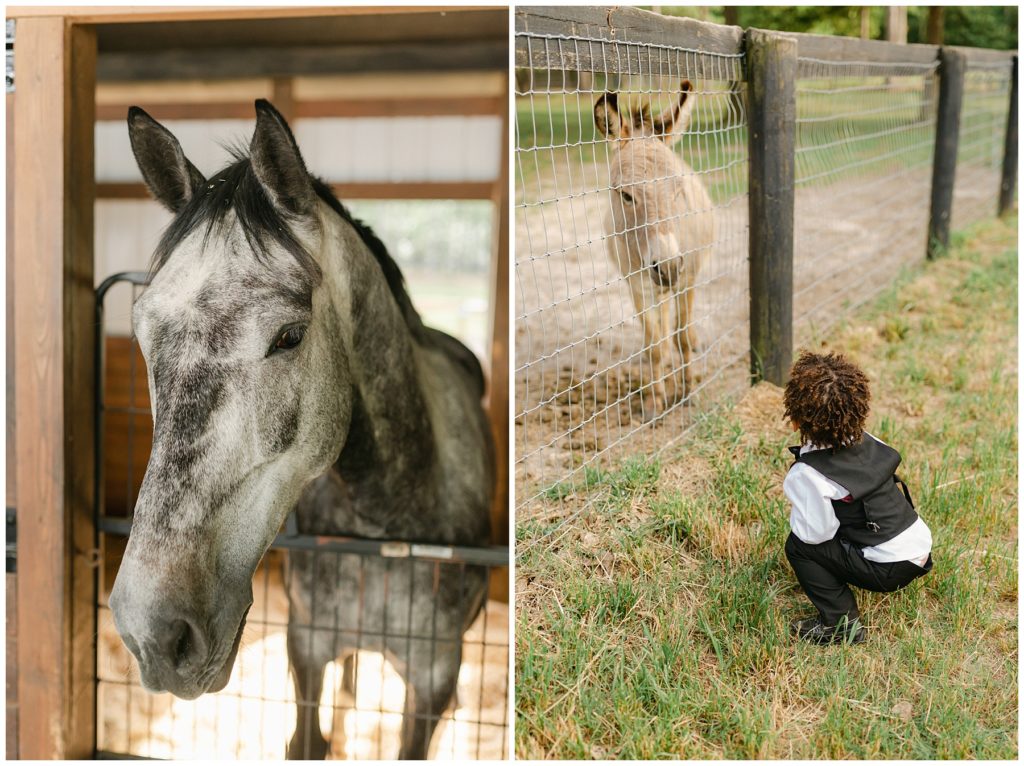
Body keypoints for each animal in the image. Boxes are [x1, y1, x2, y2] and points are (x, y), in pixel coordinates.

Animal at [110, 98, 493, 757]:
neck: (386, 527)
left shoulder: (433, 679)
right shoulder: (306, 650)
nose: (152, 632)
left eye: (289, 336)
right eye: (141, 334)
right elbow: (307, 737)